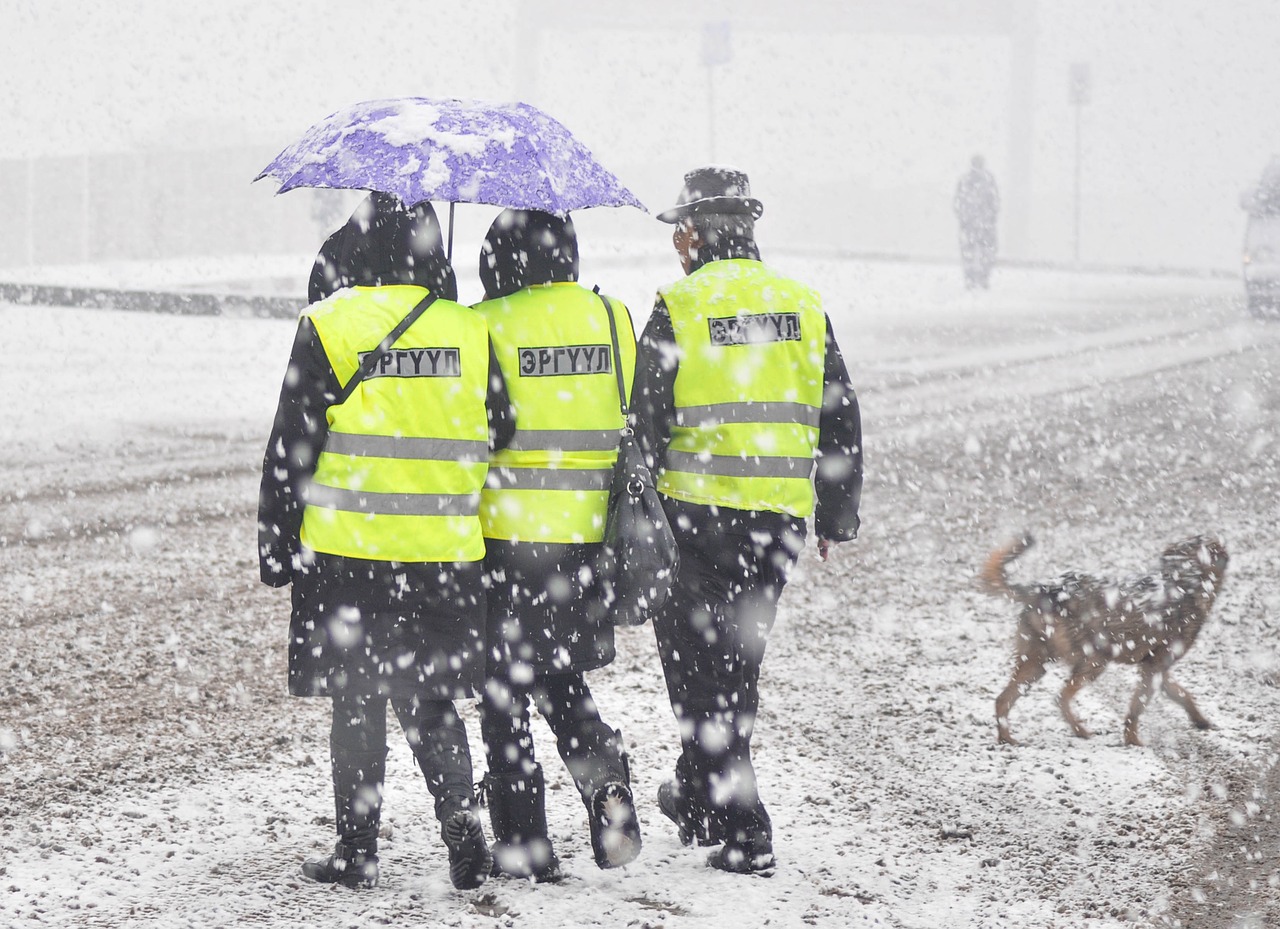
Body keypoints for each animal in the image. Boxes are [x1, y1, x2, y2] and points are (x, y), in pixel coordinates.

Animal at [977, 534, 1228, 747]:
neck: (1187, 579)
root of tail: (1043, 589)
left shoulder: (1157, 668)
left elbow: (1184, 696)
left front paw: (1201, 721)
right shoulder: (1154, 668)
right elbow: (1135, 710)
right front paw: (1133, 742)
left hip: (1036, 665)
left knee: (1003, 699)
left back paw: (1007, 738)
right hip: (1094, 662)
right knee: (1060, 698)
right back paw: (1080, 731)